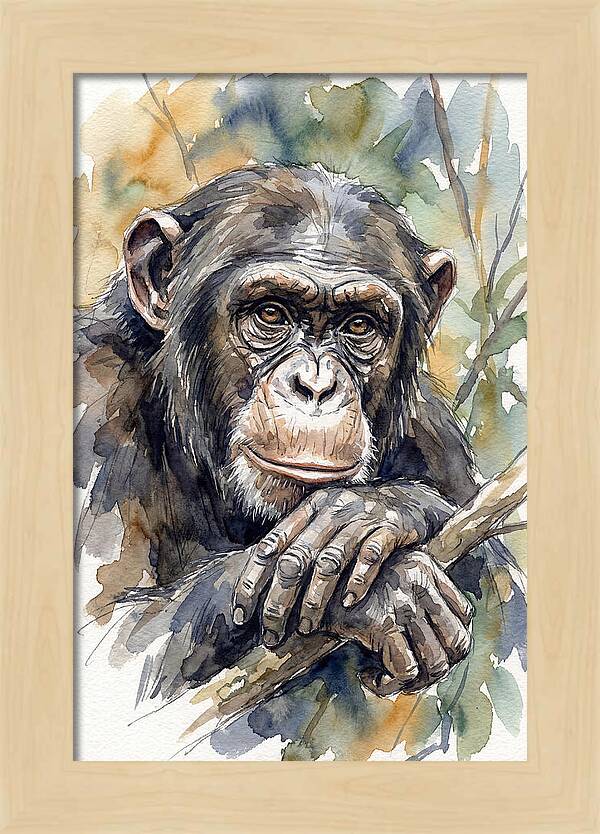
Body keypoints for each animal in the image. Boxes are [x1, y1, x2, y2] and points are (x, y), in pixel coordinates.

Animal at [74, 163, 525, 708]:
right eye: (271, 314)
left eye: (360, 325)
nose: (315, 385)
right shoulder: (92, 403)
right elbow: (111, 646)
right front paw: (392, 590)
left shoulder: (434, 434)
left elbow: (509, 601)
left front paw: (373, 512)